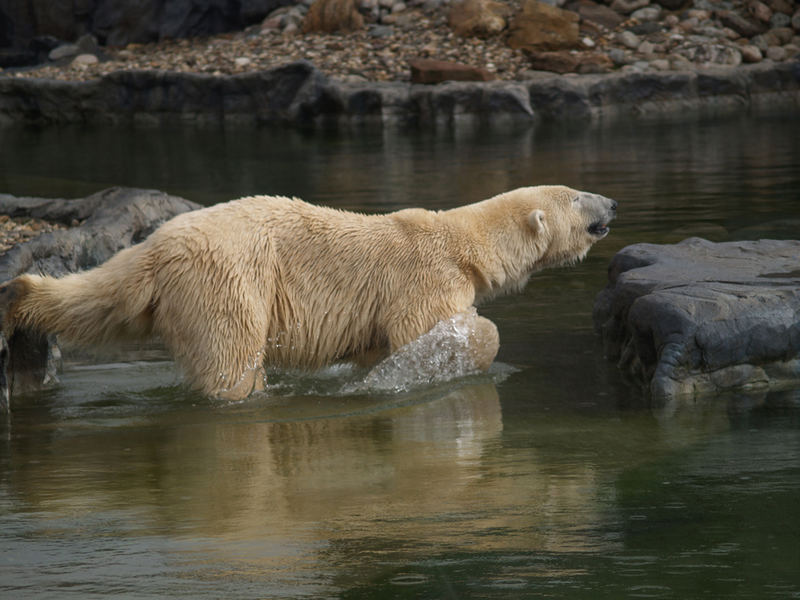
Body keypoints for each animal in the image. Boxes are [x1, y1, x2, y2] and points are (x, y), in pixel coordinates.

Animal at [0, 186, 620, 404]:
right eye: (576, 197)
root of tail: (161, 246)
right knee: (230, 359)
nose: (612, 203)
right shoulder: (423, 279)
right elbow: (435, 332)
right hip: (230, 276)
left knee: (100, 302)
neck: (460, 239)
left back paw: (19, 305)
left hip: (152, 277)